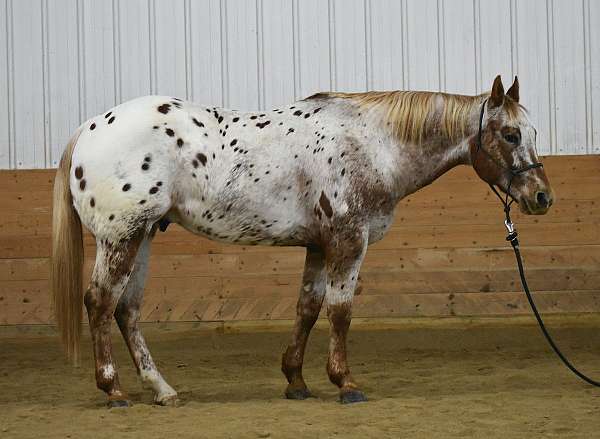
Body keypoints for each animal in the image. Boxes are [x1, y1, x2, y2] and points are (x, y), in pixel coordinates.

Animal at [52, 75, 552, 410]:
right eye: (510, 134)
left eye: (531, 133)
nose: (542, 197)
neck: (373, 144)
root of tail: (90, 127)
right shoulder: (348, 241)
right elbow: (340, 312)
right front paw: (345, 383)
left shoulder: (318, 245)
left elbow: (308, 309)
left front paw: (296, 380)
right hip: (121, 237)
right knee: (100, 303)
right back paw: (114, 390)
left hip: (143, 237)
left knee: (126, 310)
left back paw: (161, 390)